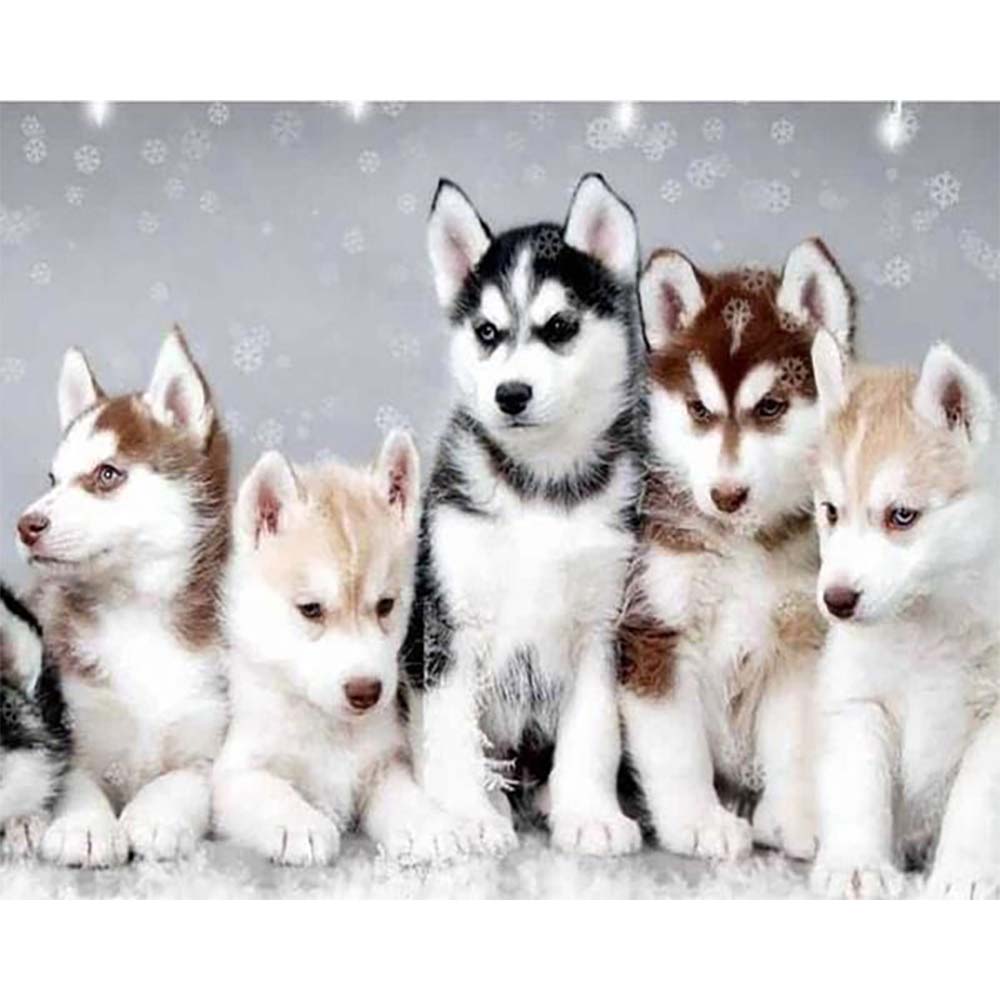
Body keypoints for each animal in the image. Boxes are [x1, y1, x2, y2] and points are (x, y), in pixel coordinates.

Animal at [15, 329, 230, 866]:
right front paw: (84, 826)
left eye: (107, 475)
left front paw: (156, 815)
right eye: (53, 479)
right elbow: (75, 781)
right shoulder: (74, 727)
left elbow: (185, 779)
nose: (26, 525)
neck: (137, 614)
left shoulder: (210, 739)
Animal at [214, 432, 471, 866]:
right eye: (311, 609)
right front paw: (298, 824)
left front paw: (426, 824)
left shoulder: (385, 762)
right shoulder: (231, 771)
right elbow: (266, 788)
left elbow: (401, 794)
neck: (329, 727)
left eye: (385, 605)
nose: (366, 692)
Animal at [403, 173, 648, 855]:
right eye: (487, 333)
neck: (541, 487)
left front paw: (590, 813)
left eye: (560, 325)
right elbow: (454, 734)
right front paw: (466, 816)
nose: (510, 394)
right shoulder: (450, 624)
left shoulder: (603, 625)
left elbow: (594, 733)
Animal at [619, 240, 855, 860]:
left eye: (770, 407)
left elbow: (794, 738)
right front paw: (699, 821)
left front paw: (796, 817)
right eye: (699, 410)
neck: (741, 545)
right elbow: (676, 747)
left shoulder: (798, 642)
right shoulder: (656, 630)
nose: (726, 496)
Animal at [809, 332, 999, 898]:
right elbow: (857, 788)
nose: (836, 600)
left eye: (902, 516)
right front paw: (856, 865)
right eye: (831, 512)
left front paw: (965, 874)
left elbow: (976, 799)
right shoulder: (857, 701)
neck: (925, 624)